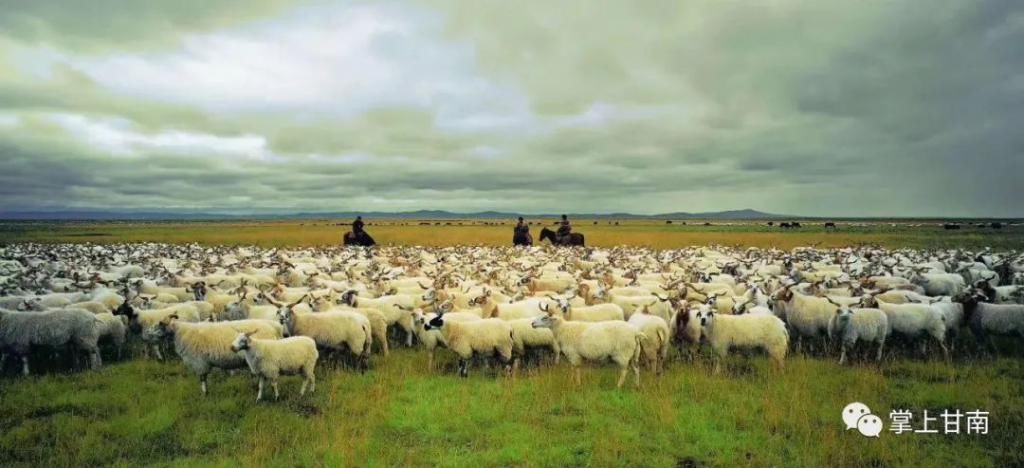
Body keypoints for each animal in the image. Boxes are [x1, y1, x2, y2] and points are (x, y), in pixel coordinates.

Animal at [148, 315, 284, 391]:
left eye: (159, 326)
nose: (148, 334)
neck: (181, 333)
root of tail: (275, 327)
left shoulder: (200, 362)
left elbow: (202, 379)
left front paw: (205, 394)